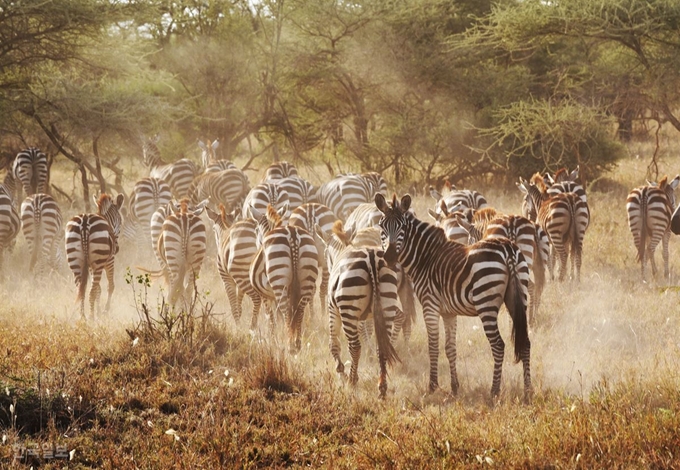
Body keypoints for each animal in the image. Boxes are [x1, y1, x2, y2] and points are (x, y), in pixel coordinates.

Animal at [66, 192, 126, 320]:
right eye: (120, 222)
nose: (117, 248)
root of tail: (84, 222)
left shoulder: (89, 266)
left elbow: (99, 288)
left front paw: (98, 311)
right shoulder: (110, 261)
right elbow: (110, 286)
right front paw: (105, 311)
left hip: (75, 262)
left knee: (81, 290)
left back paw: (83, 317)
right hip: (98, 263)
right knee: (91, 291)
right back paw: (91, 317)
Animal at [322, 222, 402, 398]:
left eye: (326, 254)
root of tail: (370, 257)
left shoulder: (332, 310)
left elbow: (333, 344)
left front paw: (341, 373)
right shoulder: (371, 316)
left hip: (348, 309)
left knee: (355, 347)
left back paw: (352, 381)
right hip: (387, 305)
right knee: (381, 348)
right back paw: (382, 388)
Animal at [378, 193, 532, 398]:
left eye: (401, 227)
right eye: (382, 226)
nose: (389, 258)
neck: (425, 257)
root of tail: (508, 249)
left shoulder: (430, 304)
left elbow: (433, 345)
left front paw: (432, 386)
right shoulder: (449, 312)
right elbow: (450, 348)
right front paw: (454, 386)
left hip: (486, 303)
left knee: (499, 345)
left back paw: (494, 391)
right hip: (519, 298)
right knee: (526, 343)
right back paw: (528, 391)